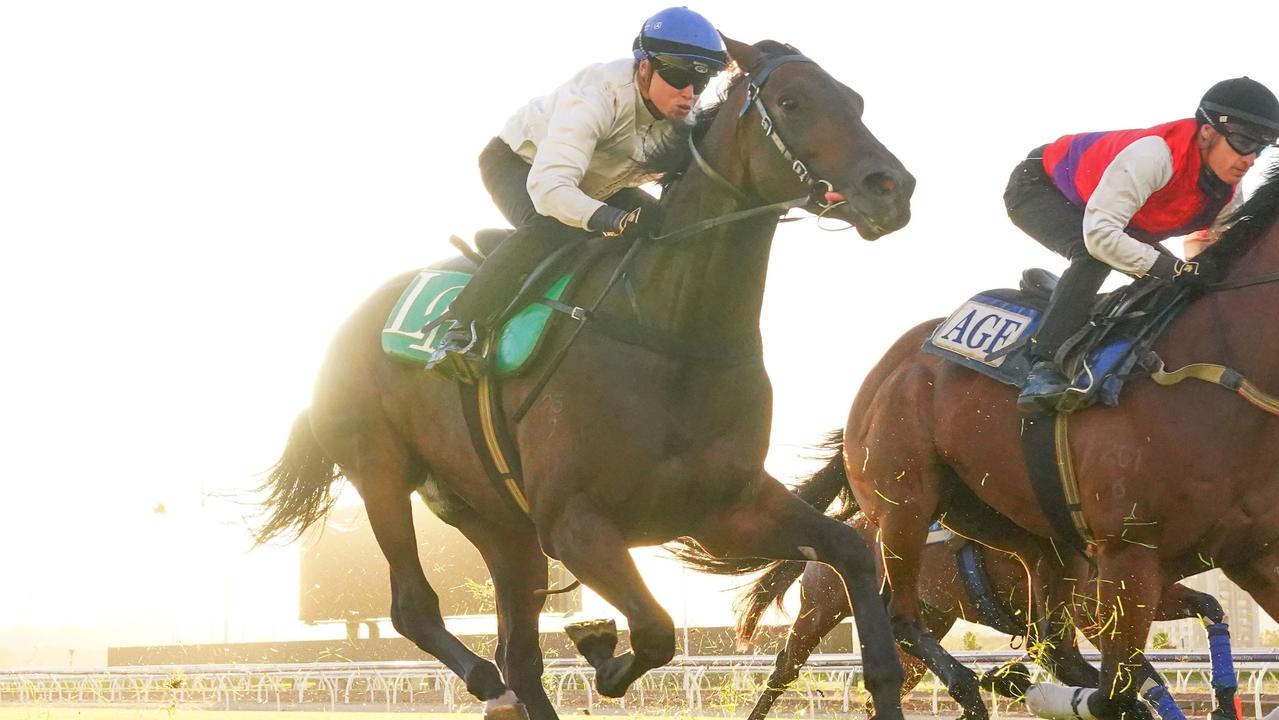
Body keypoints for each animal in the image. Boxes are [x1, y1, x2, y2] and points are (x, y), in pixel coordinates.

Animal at [251, 38, 910, 720]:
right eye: (792, 101)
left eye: (857, 100)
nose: (892, 188)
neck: (671, 332)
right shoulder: (574, 523)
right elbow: (653, 630)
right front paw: (598, 647)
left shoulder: (727, 510)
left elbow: (854, 553)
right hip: (379, 469)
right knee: (418, 610)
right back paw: (491, 687)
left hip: (499, 522)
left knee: (519, 650)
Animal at [787, 167, 1279, 720]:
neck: (1215, 370)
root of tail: (888, 364)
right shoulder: (1126, 562)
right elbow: (1117, 690)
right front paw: (1016, 681)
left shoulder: (1255, 555)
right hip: (901, 511)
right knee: (898, 622)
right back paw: (983, 684)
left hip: (1025, 535)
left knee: (1053, 647)